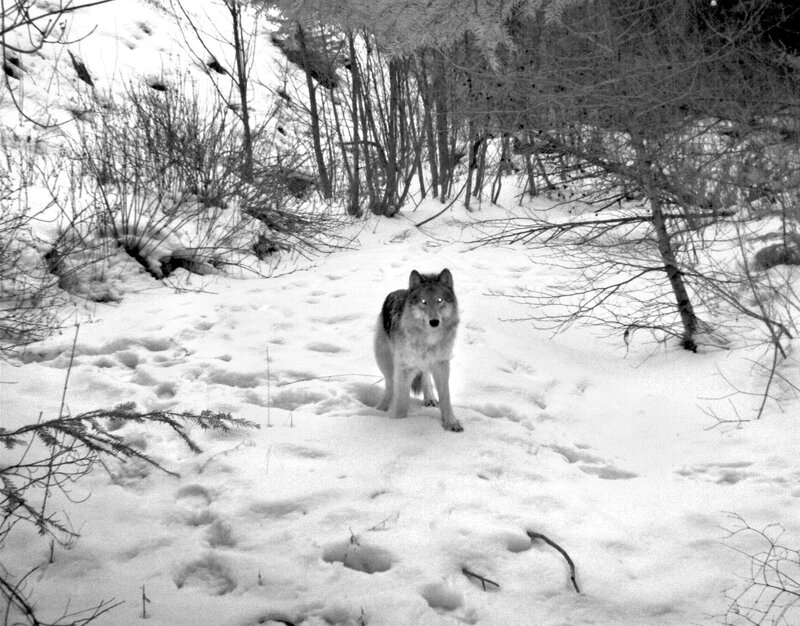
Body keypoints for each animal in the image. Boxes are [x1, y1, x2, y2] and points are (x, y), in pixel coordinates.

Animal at [374, 268, 462, 432]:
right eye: (423, 302)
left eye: (439, 300)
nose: (434, 322)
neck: (428, 341)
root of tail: (398, 291)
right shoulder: (404, 369)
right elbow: (402, 404)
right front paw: (398, 424)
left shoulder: (441, 365)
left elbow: (445, 398)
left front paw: (451, 423)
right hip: (385, 363)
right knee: (390, 386)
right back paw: (381, 408)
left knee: (425, 376)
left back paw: (430, 398)